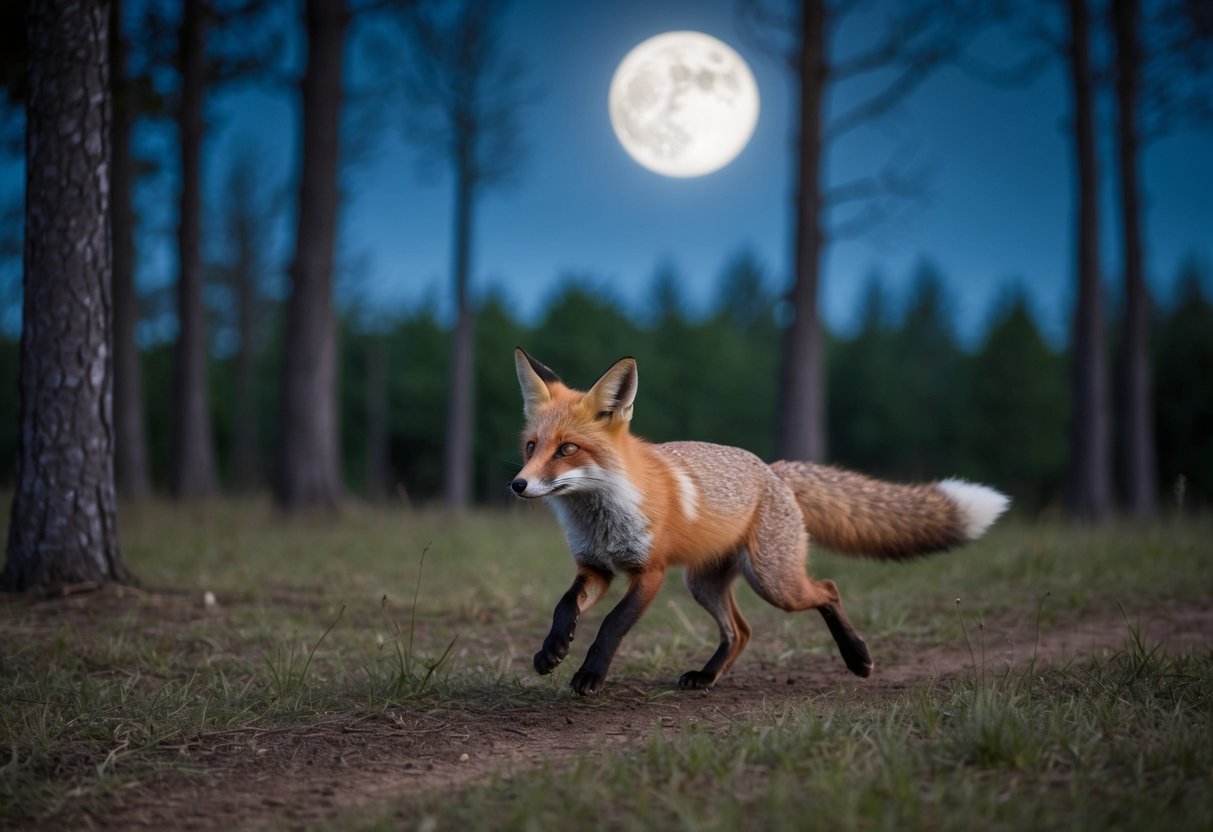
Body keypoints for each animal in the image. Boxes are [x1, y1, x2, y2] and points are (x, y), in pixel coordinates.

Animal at [510, 348, 1010, 696]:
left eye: (568, 449)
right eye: (531, 447)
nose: (518, 485)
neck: (600, 514)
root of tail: (774, 469)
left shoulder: (649, 572)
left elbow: (612, 626)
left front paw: (590, 675)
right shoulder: (596, 567)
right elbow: (564, 606)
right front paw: (552, 649)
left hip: (774, 582)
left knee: (827, 589)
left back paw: (858, 658)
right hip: (704, 584)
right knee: (741, 631)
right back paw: (707, 677)